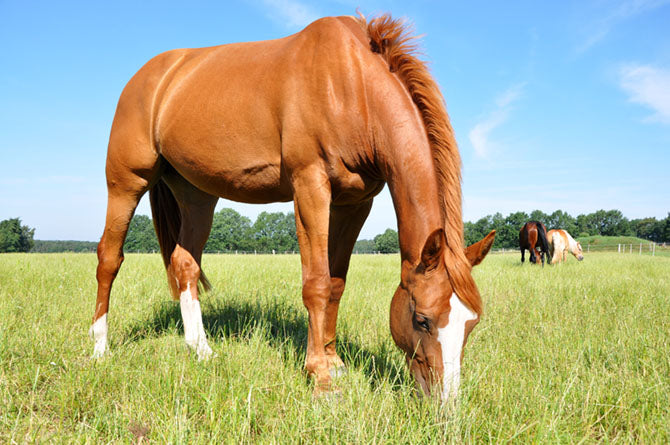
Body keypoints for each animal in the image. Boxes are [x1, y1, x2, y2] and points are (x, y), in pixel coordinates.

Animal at [90, 13, 496, 401]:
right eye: (423, 319)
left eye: (472, 323)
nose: (444, 403)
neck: (352, 86)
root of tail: (150, 76)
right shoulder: (310, 186)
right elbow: (315, 284)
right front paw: (320, 378)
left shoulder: (355, 203)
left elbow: (335, 284)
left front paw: (334, 362)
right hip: (127, 183)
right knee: (109, 258)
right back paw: (100, 349)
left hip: (196, 195)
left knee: (184, 263)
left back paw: (200, 349)